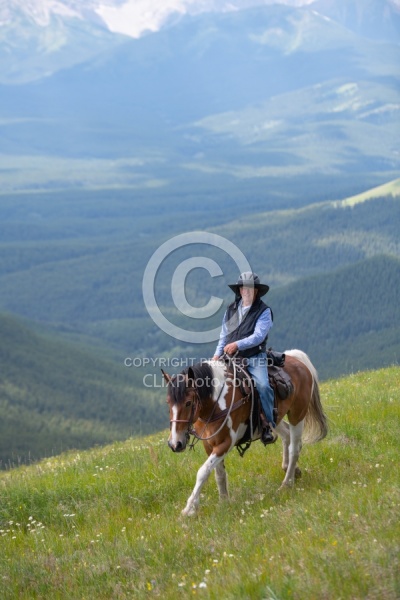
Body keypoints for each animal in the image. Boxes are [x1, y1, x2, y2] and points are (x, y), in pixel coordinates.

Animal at [162, 350, 328, 516]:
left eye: (188, 403)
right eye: (168, 403)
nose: (175, 444)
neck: (216, 403)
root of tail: (296, 360)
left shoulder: (226, 443)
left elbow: (203, 472)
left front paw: (189, 508)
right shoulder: (209, 445)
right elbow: (218, 474)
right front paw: (224, 502)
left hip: (297, 414)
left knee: (295, 448)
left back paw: (287, 483)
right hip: (275, 418)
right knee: (287, 436)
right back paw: (291, 470)